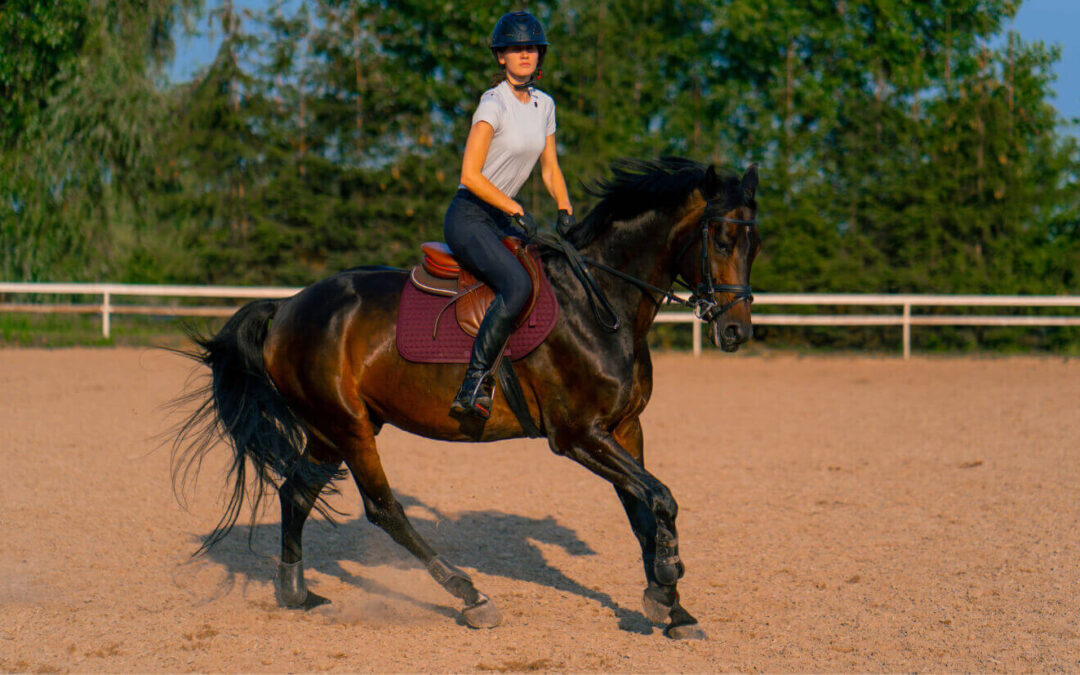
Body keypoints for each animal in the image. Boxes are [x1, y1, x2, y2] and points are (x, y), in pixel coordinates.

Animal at [172, 156, 760, 640]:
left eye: (755, 245)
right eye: (721, 240)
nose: (735, 332)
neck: (600, 302)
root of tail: (287, 306)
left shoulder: (624, 428)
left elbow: (645, 510)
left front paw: (671, 606)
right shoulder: (578, 436)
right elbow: (662, 498)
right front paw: (666, 580)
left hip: (330, 429)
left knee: (296, 492)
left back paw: (295, 591)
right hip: (349, 427)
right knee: (383, 509)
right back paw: (470, 595)